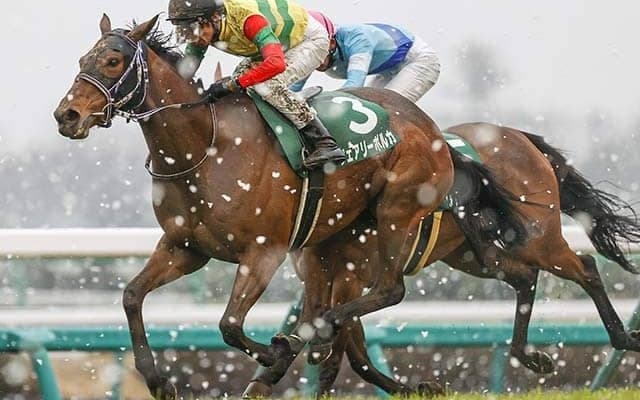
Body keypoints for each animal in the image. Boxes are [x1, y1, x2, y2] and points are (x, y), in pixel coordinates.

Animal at [52, 14, 527, 398]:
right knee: (339, 311)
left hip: (397, 211)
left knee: (387, 290)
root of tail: (432, 129)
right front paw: (158, 380)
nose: (66, 116)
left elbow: (229, 324)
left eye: (113, 61)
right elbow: (132, 296)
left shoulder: (264, 250)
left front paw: (276, 354)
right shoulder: (185, 248)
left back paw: (316, 340)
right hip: (341, 239)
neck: (206, 146)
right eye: (82, 59)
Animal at [245, 123, 640, 397]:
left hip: (537, 238)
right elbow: (349, 347)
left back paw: (623, 337)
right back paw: (528, 355)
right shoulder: (321, 275)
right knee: (525, 278)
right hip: (474, 256)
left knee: (585, 268)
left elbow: (341, 350)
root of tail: (521, 137)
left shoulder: (349, 278)